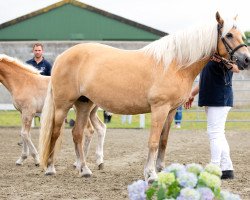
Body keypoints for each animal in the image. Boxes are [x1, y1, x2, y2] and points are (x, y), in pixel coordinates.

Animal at [39, 12, 250, 181]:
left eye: (240, 34)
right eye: (228, 35)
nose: (246, 60)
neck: (174, 64)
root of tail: (62, 55)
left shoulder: (171, 111)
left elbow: (163, 141)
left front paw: (160, 169)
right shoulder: (159, 108)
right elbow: (154, 142)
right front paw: (150, 174)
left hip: (84, 104)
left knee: (77, 134)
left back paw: (85, 170)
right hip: (63, 105)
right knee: (55, 133)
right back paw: (50, 168)